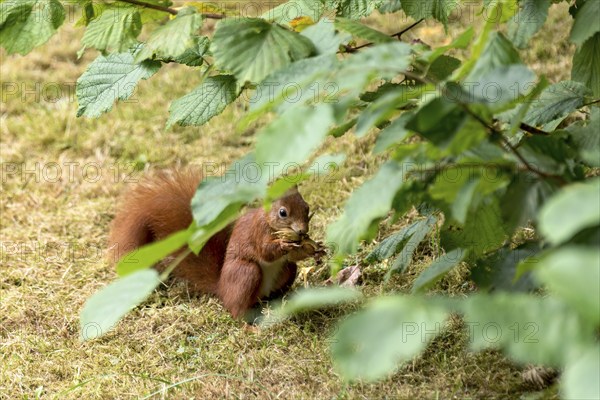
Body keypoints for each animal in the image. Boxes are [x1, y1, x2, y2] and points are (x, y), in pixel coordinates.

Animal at [107, 171, 318, 318]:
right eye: (283, 212)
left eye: (306, 207)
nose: (302, 231)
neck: (268, 221)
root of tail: (222, 288)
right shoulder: (258, 232)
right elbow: (265, 251)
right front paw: (283, 243)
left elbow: (294, 255)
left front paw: (314, 249)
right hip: (245, 273)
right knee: (236, 309)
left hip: (286, 271)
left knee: (283, 276)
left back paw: (281, 300)